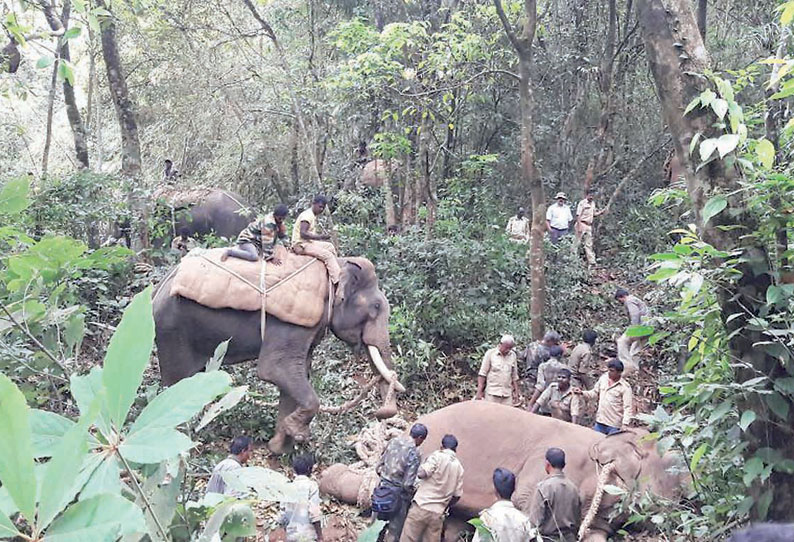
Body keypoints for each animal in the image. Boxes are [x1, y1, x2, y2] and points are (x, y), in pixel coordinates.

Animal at [152, 258, 402, 456]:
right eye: (376, 306)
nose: (382, 412)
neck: (336, 266)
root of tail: (157, 288)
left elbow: (297, 373)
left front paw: (280, 447)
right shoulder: (292, 324)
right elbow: (274, 369)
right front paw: (296, 434)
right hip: (173, 332)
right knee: (176, 382)